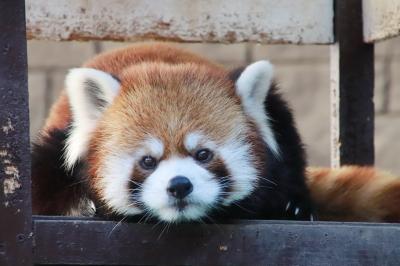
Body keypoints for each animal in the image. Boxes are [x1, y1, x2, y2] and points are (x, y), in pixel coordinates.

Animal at [32, 43, 400, 222]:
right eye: (148, 161)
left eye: (203, 154)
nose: (180, 185)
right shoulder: (58, 146)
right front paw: (87, 205)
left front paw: (289, 205)